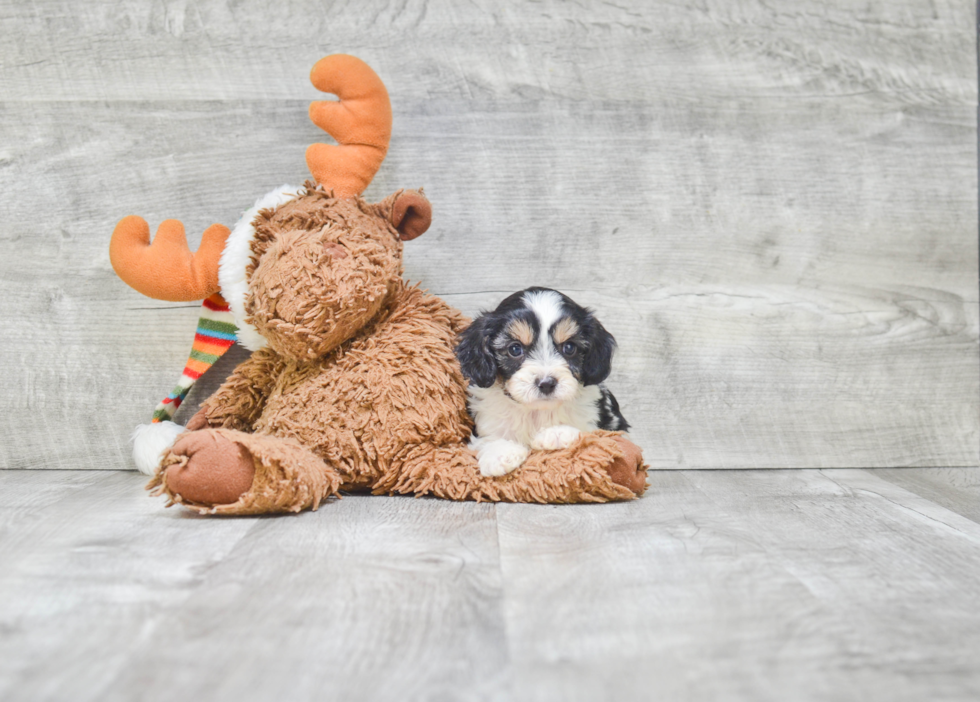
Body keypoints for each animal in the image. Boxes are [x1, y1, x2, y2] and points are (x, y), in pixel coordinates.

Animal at [456, 288, 632, 478]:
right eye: (515, 349)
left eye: (569, 348)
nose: (546, 383)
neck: (537, 411)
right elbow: (489, 438)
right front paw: (500, 453)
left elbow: (594, 434)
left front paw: (557, 433)